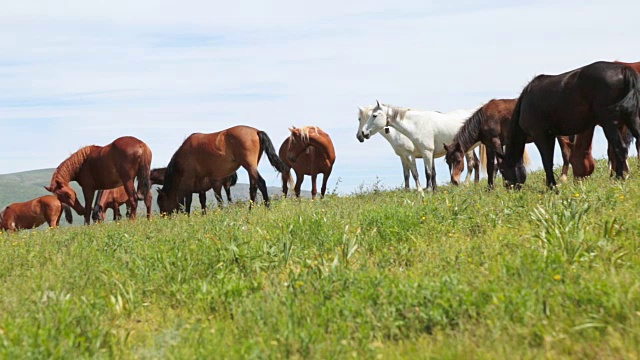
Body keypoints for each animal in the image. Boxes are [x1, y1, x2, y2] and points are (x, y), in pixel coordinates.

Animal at [156, 126, 286, 214]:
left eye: (160, 201)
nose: (164, 217)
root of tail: (256, 131)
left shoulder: (189, 177)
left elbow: (187, 199)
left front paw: (187, 216)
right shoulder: (200, 179)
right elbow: (201, 200)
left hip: (249, 165)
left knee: (261, 183)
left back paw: (267, 208)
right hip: (251, 167)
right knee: (253, 187)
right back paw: (250, 211)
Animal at [440, 98, 576, 188]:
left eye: (458, 160)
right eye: (448, 162)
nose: (454, 181)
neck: (483, 119)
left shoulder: (496, 141)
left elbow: (500, 163)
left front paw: (508, 184)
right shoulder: (489, 145)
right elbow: (490, 167)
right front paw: (490, 188)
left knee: (566, 153)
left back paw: (563, 178)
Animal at [500, 60, 640, 187]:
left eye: (502, 170)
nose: (509, 188)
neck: (525, 102)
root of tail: (624, 70)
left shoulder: (541, 136)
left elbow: (547, 161)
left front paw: (552, 186)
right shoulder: (551, 136)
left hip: (610, 124)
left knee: (620, 148)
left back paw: (619, 178)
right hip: (632, 120)